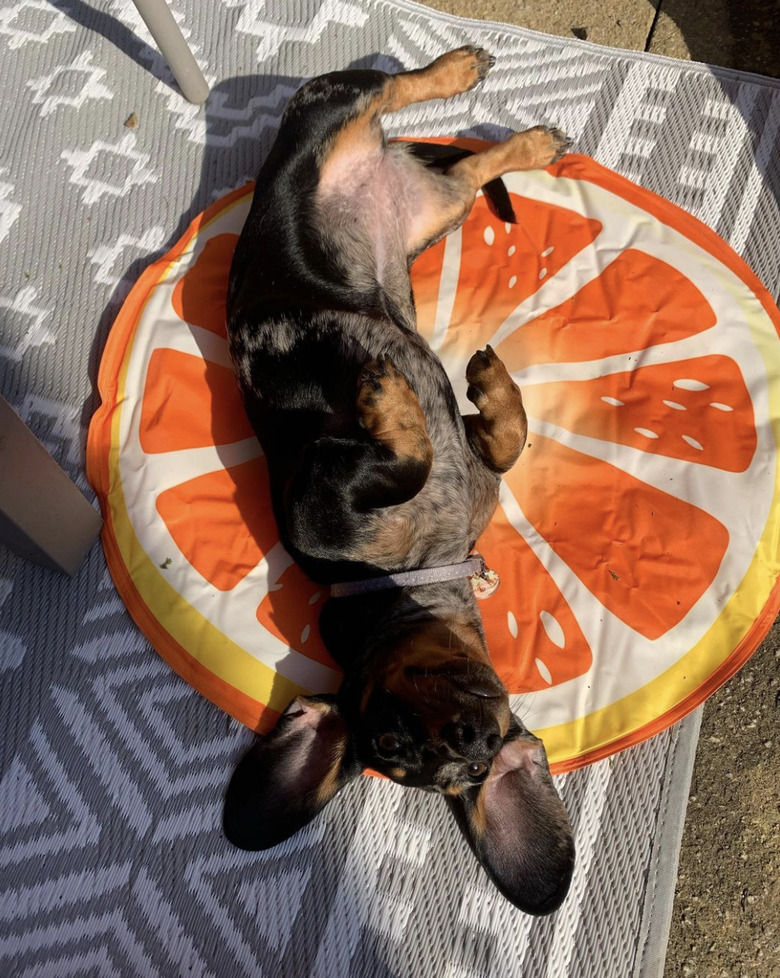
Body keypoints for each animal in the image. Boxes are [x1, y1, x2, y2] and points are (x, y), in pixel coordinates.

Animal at [222, 47, 576, 916]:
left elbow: (500, 442)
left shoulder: (437, 469)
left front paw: (479, 386)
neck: (419, 573)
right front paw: (395, 399)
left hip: (368, 152)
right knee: (451, 145)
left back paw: (467, 77)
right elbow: (424, 454)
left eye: (477, 764)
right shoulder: (322, 500)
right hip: (426, 194)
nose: (474, 739)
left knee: (390, 93)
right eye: (392, 742)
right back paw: (505, 118)